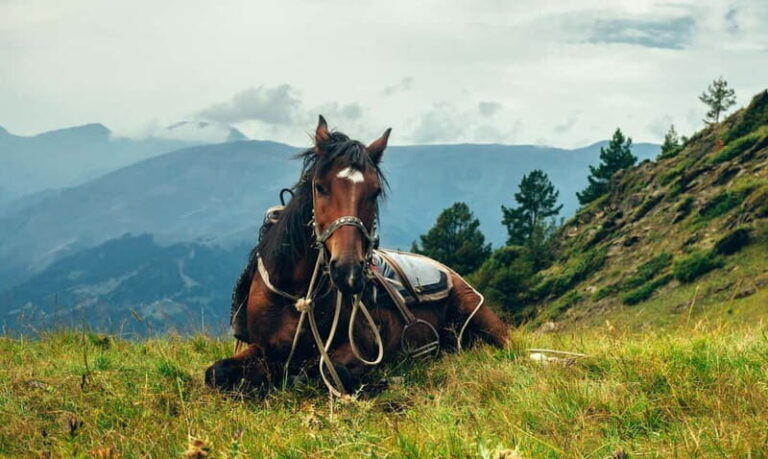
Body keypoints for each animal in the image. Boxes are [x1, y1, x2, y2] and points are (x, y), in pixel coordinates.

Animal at [205, 116, 508, 396]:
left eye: (374, 192)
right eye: (320, 187)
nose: (347, 272)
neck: (296, 297)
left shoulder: (364, 346)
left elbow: (324, 370)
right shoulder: (263, 346)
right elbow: (217, 372)